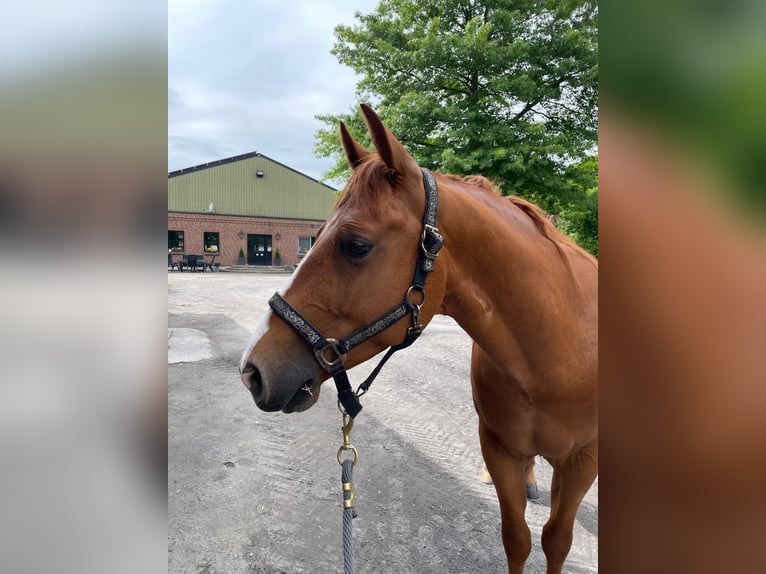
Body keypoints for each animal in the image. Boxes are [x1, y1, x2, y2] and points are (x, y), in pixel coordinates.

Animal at [239, 104, 598, 574]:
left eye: (355, 245)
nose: (252, 371)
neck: (556, 345)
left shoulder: (582, 462)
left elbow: (557, 541)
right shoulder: (499, 449)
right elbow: (517, 539)